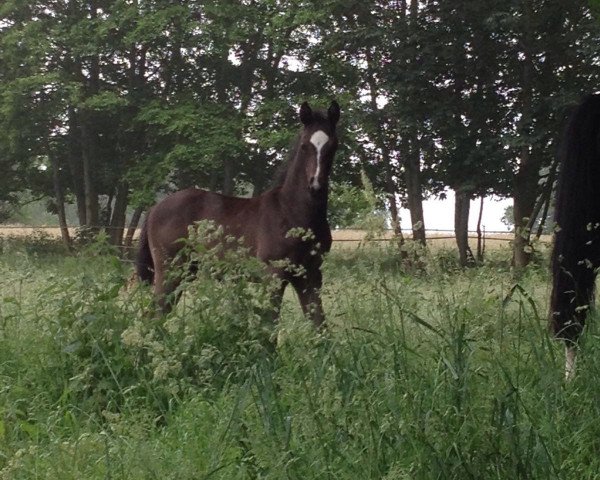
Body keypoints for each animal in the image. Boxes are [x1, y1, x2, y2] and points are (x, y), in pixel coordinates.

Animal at [138, 101, 340, 326]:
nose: (315, 186)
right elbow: (270, 324)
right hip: (170, 270)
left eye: (333, 146)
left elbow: (319, 325)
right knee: (155, 314)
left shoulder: (311, 276)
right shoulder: (273, 275)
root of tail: (154, 208)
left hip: (185, 272)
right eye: (305, 146)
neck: (293, 212)